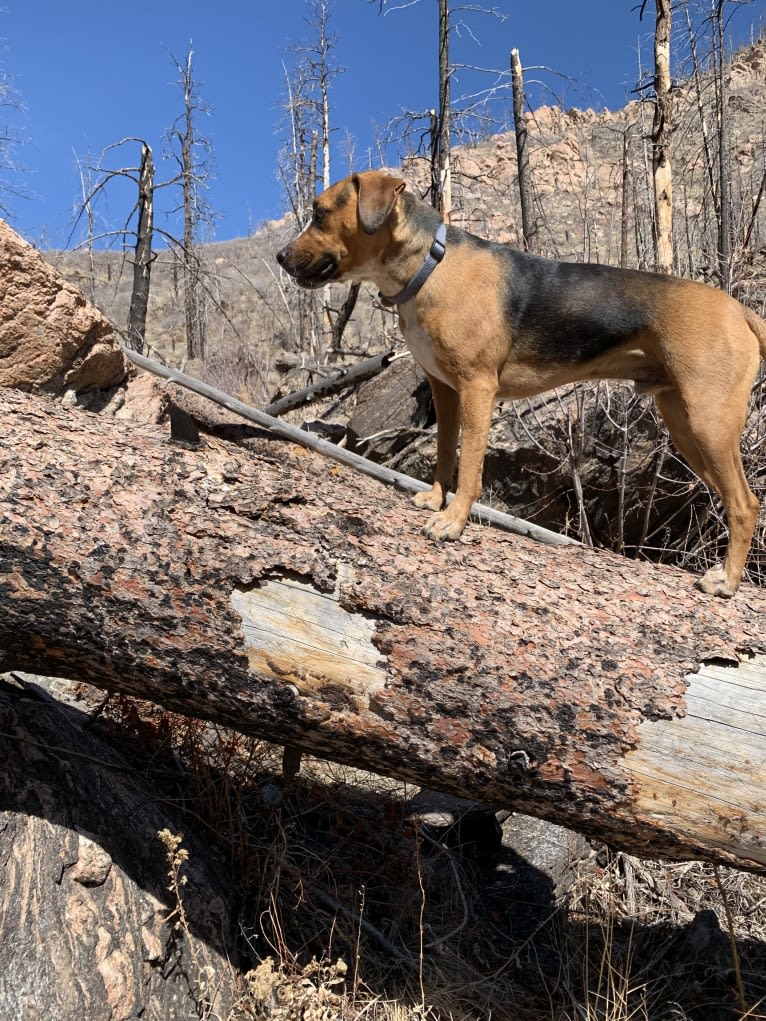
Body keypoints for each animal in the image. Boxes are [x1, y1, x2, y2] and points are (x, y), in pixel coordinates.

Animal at [277, 169, 766, 596]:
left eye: (320, 212)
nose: (280, 256)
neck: (429, 266)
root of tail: (740, 310)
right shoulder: (444, 391)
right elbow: (444, 456)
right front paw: (435, 500)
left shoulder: (477, 389)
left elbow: (470, 467)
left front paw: (453, 522)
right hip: (686, 427)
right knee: (734, 499)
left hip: (708, 422)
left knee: (745, 505)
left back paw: (726, 582)